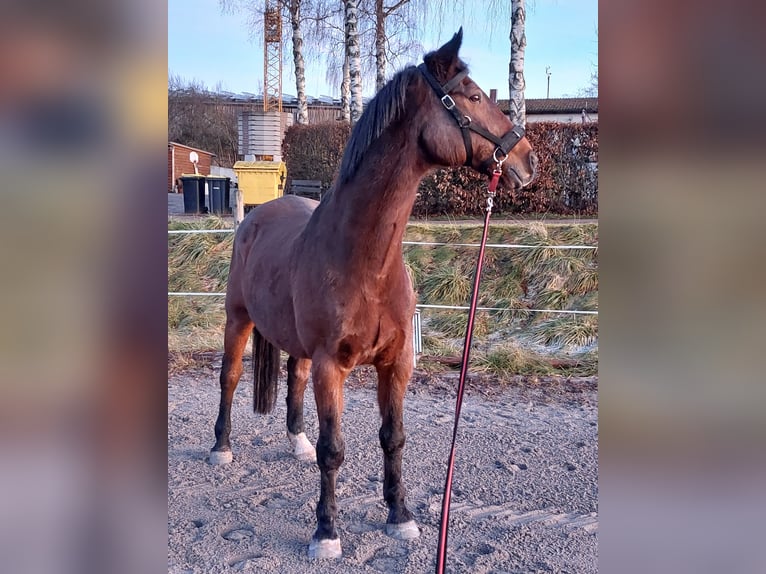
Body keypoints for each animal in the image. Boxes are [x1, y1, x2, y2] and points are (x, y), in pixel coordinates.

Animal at [207, 29, 536, 560]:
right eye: (471, 96)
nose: (528, 160)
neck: (366, 262)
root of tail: (257, 214)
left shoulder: (396, 362)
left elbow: (393, 438)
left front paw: (400, 516)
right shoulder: (331, 366)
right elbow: (334, 450)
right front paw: (326, 531)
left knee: (294, 377)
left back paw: (296, 442)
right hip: (238, 319)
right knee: (230, 379)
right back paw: (221, 447)